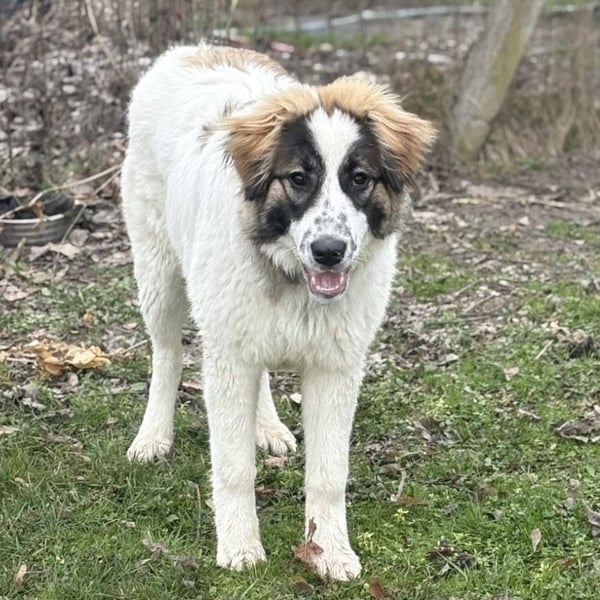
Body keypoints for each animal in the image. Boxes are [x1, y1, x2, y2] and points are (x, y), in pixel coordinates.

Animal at [121, 44, 435, 581]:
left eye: (359, 179)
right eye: (298, 179)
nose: (329, 251)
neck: (291, 278)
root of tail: (191, 49)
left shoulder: (335, 369)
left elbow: (329, 473)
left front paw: (330, 551)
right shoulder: (229, 360)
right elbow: (233, 467)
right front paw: (240, 546)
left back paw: (266, 428)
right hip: (159, 276)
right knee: (167, 355)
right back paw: (154, 435)